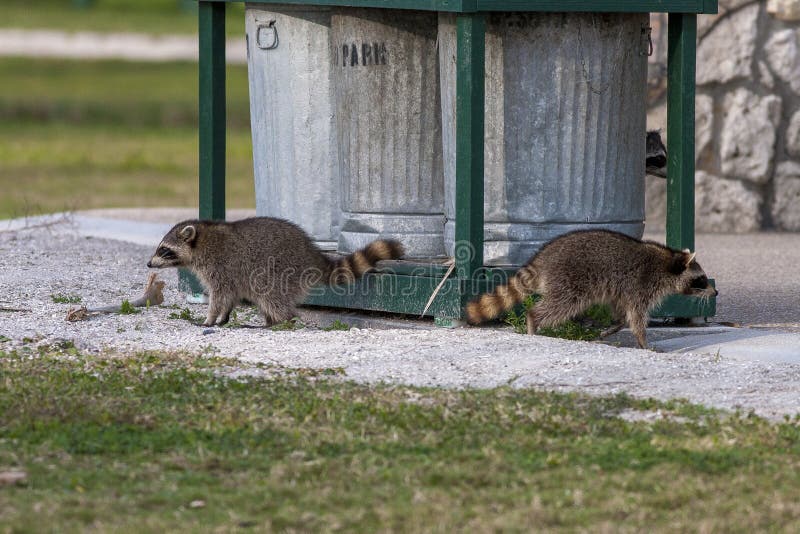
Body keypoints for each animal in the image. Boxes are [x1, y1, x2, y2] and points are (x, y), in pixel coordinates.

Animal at [147, 217, 404, 327]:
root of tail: (312, 254)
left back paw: (281, 321)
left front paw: (210, 318)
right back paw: (270, 321)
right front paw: (224, 317)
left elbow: (220, 296)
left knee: (271, 297)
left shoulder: (221, 267)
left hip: (279, 272)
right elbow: (230, 296)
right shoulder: (229, 274)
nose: (149, 264)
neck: (201, 241)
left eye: (164, 250)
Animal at [465, 230, 717, 348]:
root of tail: (542, 259)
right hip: (569, 281)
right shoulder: (641, 285)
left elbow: (621, 311)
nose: (715, 293)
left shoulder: (623, 289)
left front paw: (614, 327)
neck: (668, 261)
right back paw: (533, 319)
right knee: (559, 306)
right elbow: (636, 316)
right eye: (701, 279)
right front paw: (643, 342)